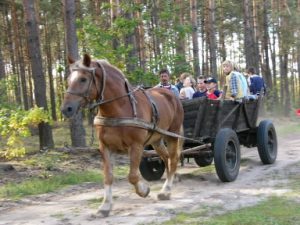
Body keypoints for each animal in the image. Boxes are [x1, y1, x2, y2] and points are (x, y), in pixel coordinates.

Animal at [60, 53, 183, 217]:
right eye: (68, 79)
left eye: (83, 79)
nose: (66, 109)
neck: (119, 108)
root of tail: (171, 94)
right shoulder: (105, 147)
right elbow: (108, 176)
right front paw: (105, 206)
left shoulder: (136, 146)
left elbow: (132, 176)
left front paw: (144, 190)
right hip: (156, 140)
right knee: (167, 159)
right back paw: (167, 186)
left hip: (172, 135)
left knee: (173, 159)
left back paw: (166, 191)